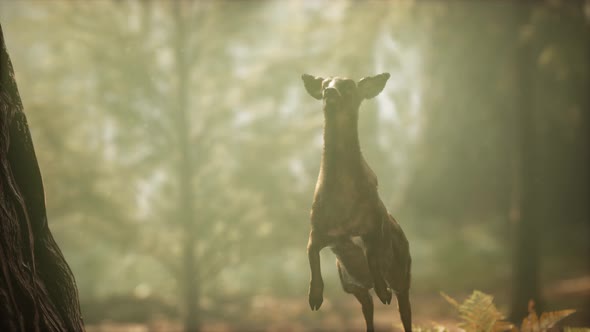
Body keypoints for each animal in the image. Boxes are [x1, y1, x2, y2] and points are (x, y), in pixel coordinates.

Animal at [302, 72, 414, 332]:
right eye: (325, 84)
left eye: (350, 86)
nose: (330, 93)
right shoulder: (317, 230)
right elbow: (311, 255)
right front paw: (315, 297)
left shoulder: (373, 225)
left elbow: (373, 257)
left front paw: (384, 291)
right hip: (352, 286)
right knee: (367, 310)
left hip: (403, 273)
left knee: (404, 312)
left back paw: (386, 293)